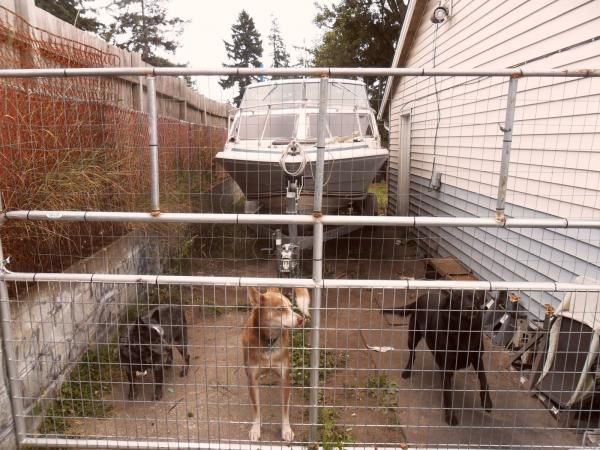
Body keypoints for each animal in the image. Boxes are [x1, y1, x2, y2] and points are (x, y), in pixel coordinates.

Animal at [243, 286, 310, 442]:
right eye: (280, 309)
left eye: (291, 307)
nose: (301, 320)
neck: (268, 343)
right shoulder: (252, 379)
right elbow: (256, 408)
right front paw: (256, 428)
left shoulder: (285, 378)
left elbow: (285, 408)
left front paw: (286, 430)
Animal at [386, 292, 490, 426]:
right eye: (457, 298)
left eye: (476, 298)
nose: (470, 308)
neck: (464, 332)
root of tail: (421, 297)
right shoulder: (446, 366)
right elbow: (448, 394)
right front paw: (451, 417)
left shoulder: (477, 358)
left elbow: (484, 380)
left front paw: (487, 403)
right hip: (413, 335)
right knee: (413, 354)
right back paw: (407, 371)